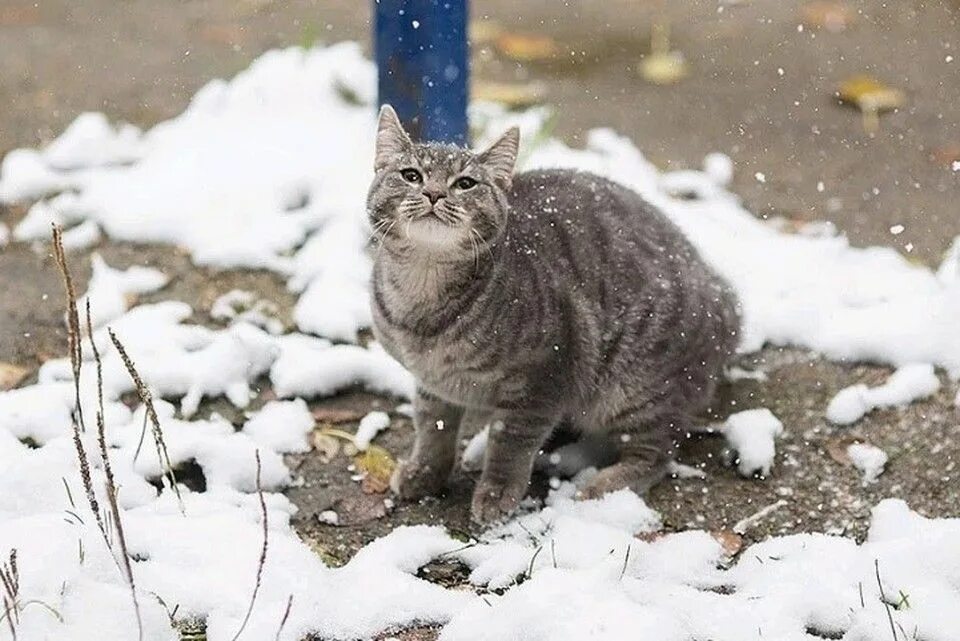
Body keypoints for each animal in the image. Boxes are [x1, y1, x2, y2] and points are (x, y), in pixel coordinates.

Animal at [368, 105, 744, 524]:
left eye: (465, 183)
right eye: (411, 175)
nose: (433, 193)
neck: (423, 295)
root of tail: (721, 295)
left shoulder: (543, 375)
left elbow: (510, 441)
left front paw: (497, 491)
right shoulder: (432, 383)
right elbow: (433, 428)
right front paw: (425, 472)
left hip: (635, 387)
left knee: (657, 451)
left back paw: (601, 486)